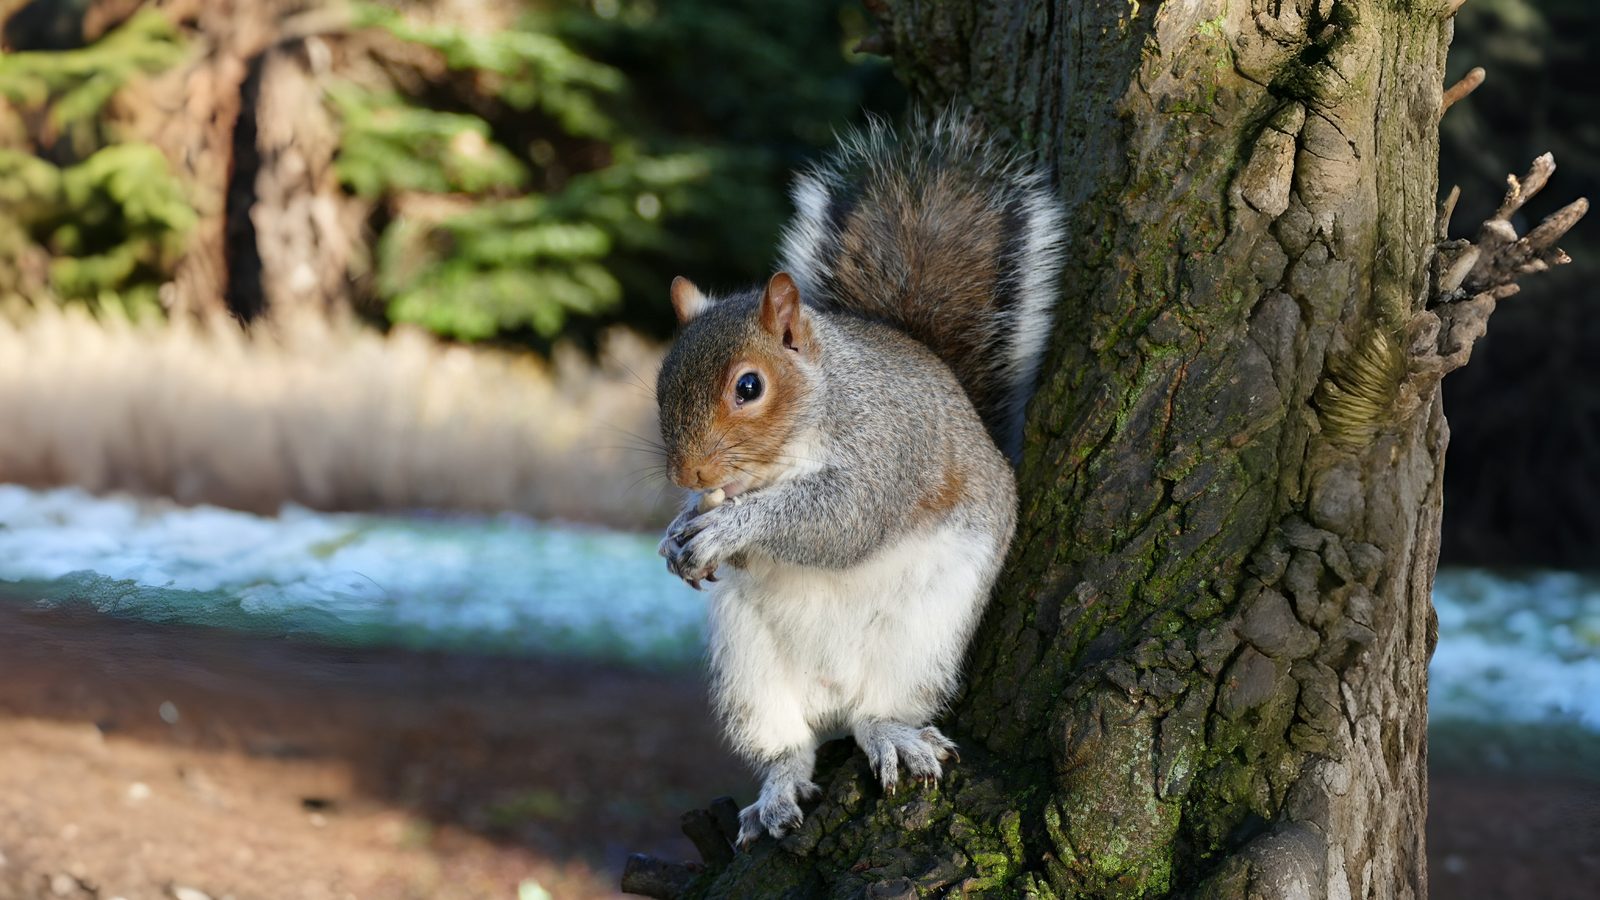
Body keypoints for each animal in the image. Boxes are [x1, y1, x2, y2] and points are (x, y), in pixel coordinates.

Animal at [655, 112, 1065, 846]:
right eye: (661, 378)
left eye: (749, 386)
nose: (687, 471)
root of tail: (835, 696)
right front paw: (676, 533)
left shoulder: (889, 452)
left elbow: (840, 522)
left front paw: (729, 527)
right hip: (749, 672)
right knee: (788, 746)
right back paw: (777, 792)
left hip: (922, 640)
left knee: (878, 711)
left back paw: (889, 735)